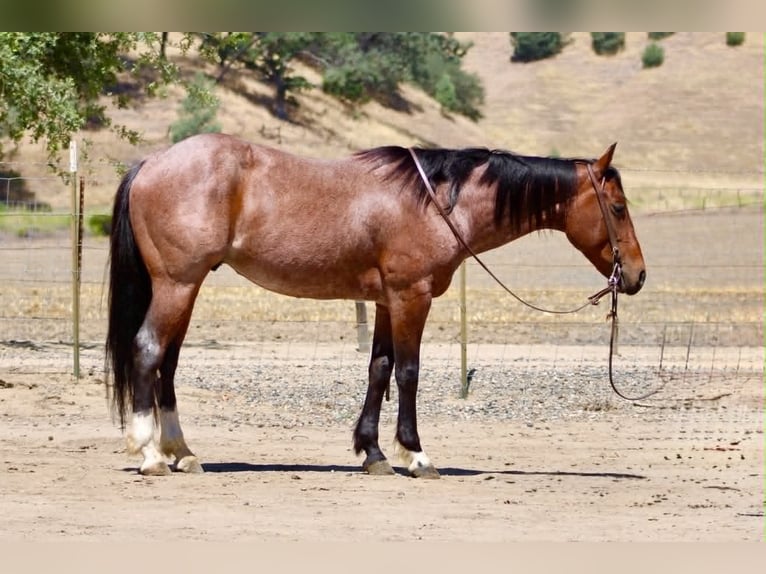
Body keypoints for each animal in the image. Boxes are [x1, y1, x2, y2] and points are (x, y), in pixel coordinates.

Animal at [106, 133, 646, 477]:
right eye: (618, 208)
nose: (637, 275)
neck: (438, 204)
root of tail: (151, 163)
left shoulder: (387, 302)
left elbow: (379, 368)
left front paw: (373, 453)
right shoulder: (411, 297)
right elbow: (408, 372)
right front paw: (416, 455)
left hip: (186, 288)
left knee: (168, 363)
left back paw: (181, 452)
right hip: (177, 284)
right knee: (148, 350)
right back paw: (150, 454)